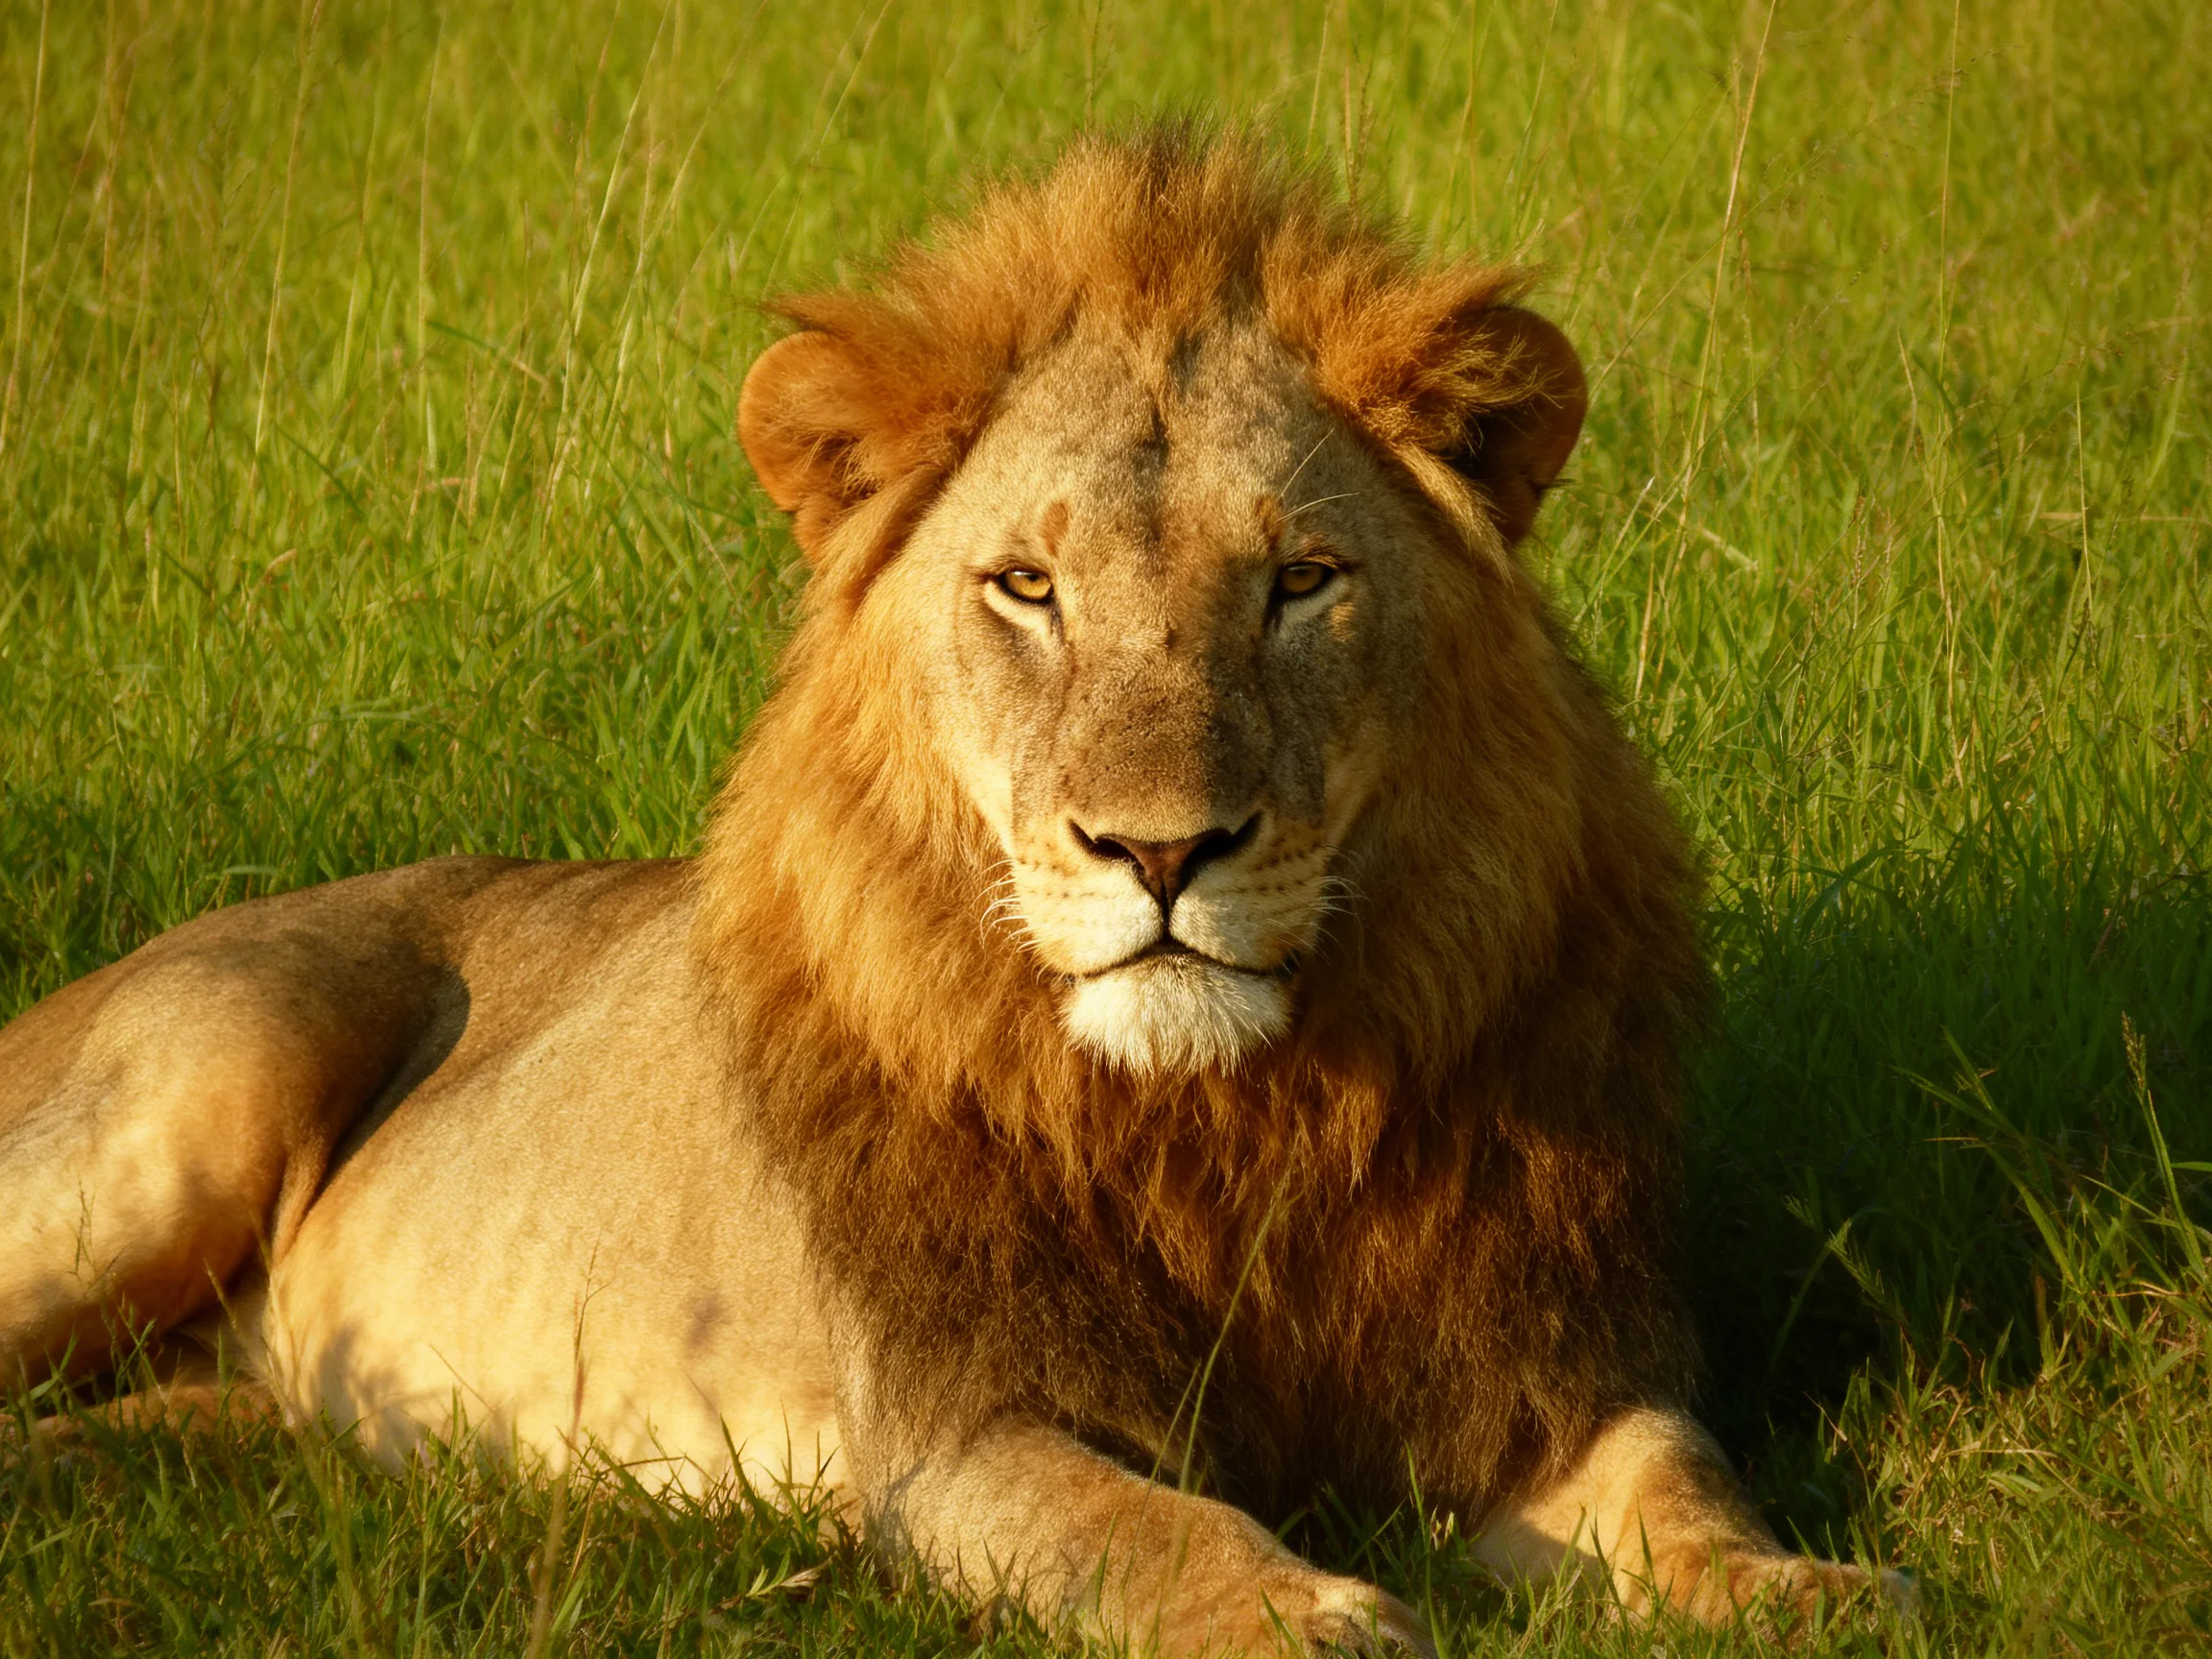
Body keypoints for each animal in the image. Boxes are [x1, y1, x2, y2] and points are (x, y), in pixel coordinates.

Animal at [0, 132, 1907, 1652]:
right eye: (1025, 587)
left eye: (1300, 581)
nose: (1160, 851)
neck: (1238, 1122)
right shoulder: (958, 1427)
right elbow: (1142, 1530)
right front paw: (1307, 1611)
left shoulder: (1547, 1367)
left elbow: (1685, 1484)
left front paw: (1810, 1591)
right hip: (199, 1085)